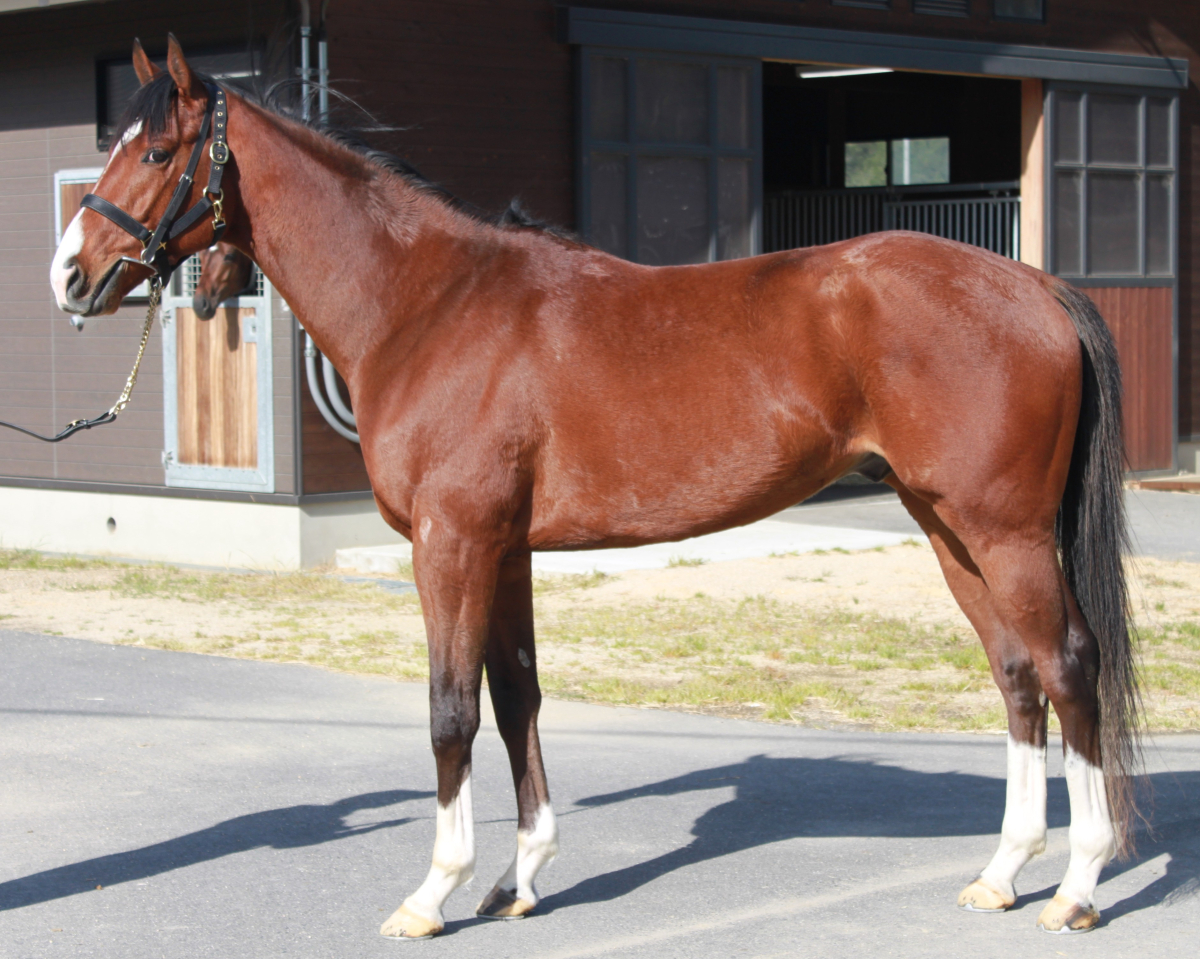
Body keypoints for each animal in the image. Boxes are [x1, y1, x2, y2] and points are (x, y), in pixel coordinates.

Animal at [50, 36, 1141, 939]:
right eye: (113, 145)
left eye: (156, 154)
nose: (70, 274)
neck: (429, 306)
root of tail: (1036, 287)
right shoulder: (504, 550)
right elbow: (516, 697)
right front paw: (518, 879)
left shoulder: (451, 542)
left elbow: (450, 710)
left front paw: (434, 891)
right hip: (948, 527)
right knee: (1017, 673)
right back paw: (1003, 873)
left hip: (1004, 532)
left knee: (1069, 665)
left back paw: (1080, 884)